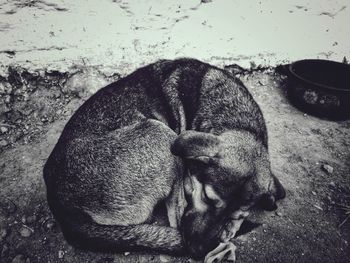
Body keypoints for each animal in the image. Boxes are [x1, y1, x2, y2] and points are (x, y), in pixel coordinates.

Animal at [43, 58, 286, 262]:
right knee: (175, 215)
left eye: (233, 214)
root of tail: (63, 209)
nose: (197, 250)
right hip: (161, 133)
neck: (238, 121)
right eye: (207, 198)